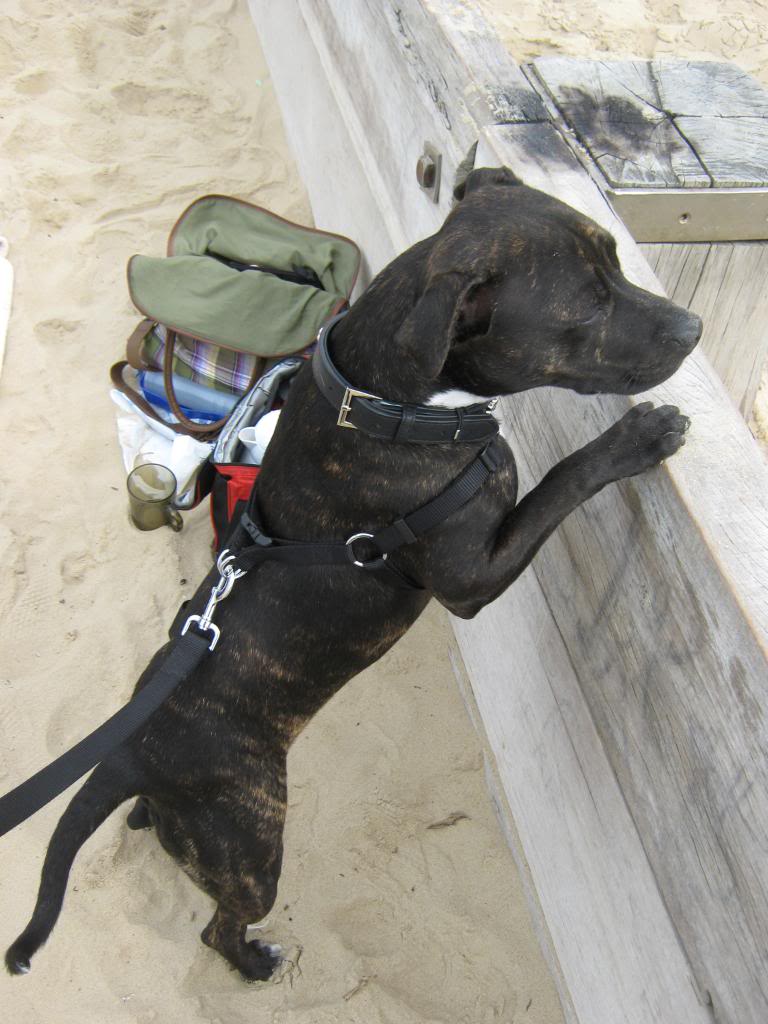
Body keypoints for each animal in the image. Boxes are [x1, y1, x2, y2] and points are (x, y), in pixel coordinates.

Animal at [6, 167, 704, 974]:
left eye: (616, 262)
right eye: (588, 303)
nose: (695, 329)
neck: (386, 402)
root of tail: (126, 759)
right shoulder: (473, 577)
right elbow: (562, 480)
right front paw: (639, 437)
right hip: (250, 844)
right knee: (220, 927)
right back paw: (255, 963)